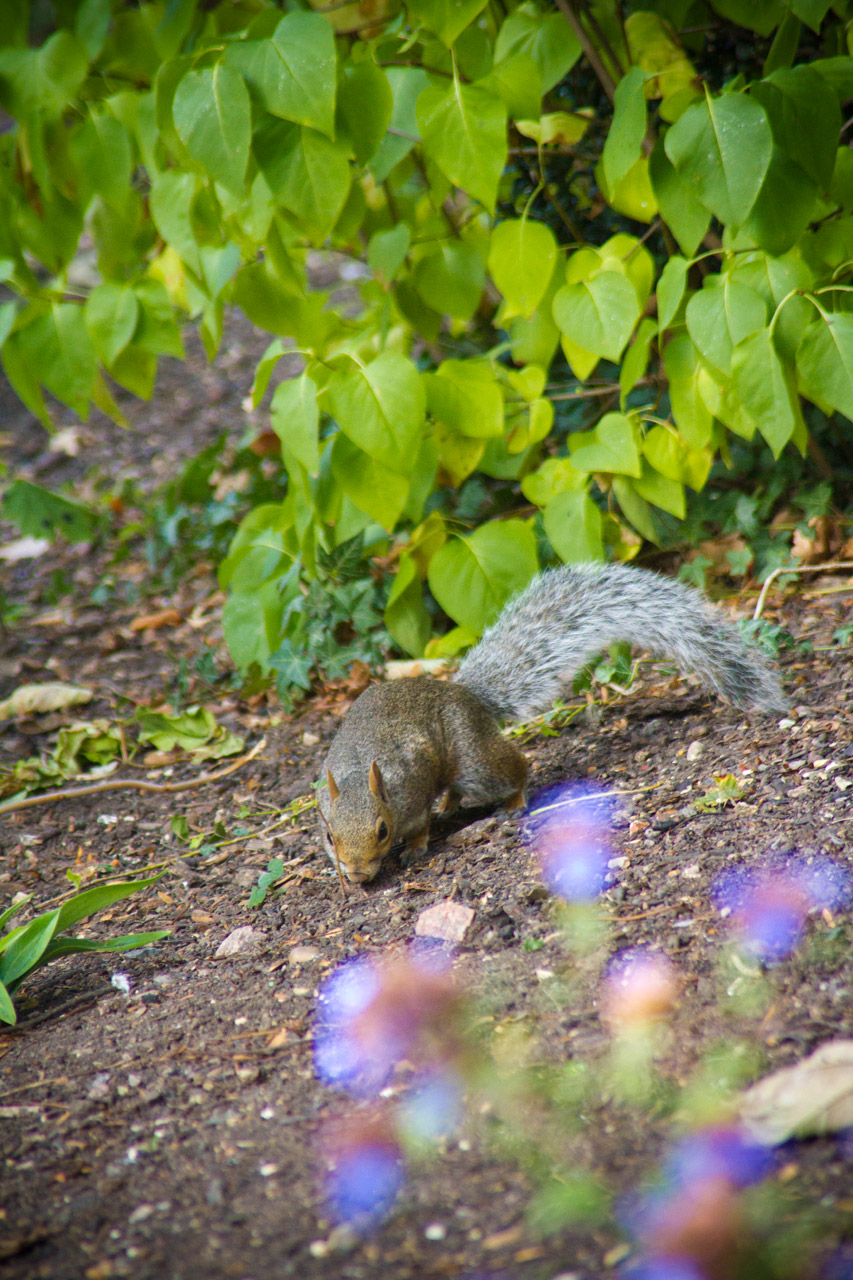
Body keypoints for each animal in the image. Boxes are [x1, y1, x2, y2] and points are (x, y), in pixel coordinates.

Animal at [317, 565, 783, 885]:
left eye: (382, 830)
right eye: (328, 836)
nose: (356, 875)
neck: (362, 776)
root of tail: (465, 694)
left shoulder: (412, 795)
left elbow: (417, 828)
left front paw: (413, 849)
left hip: (475, 759)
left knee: (510, 769)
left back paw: (513, 802)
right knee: (452, 787)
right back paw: (450, 805)